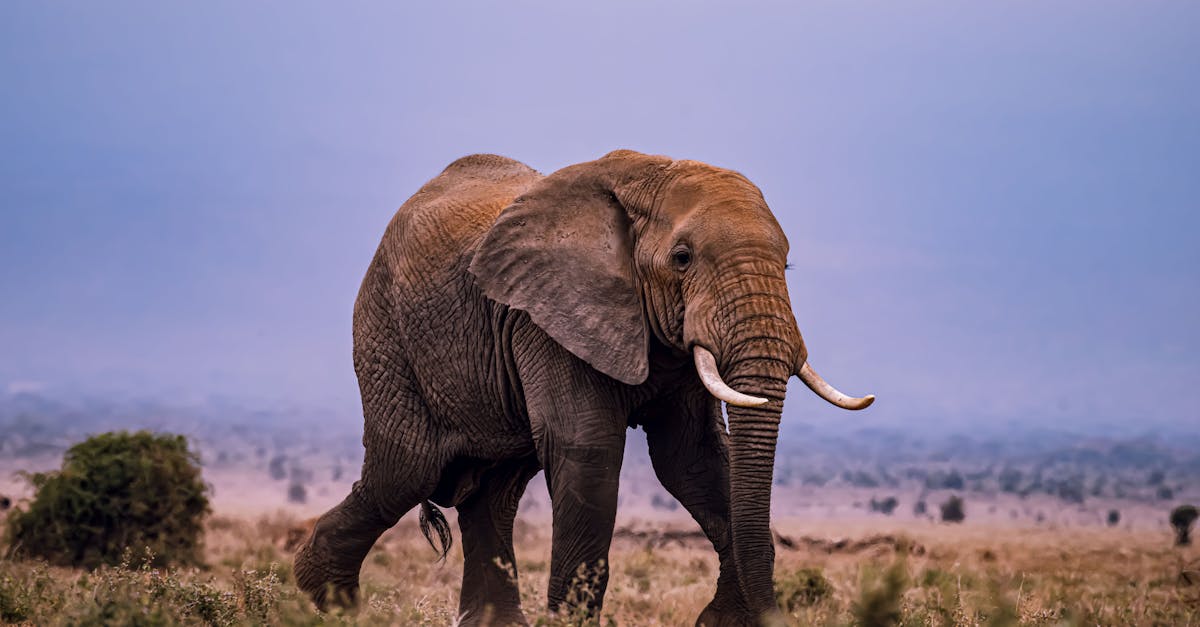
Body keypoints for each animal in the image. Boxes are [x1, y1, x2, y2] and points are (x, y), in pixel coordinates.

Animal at [290, 148, 873, 619]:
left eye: (788, 264)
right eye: (682, 258)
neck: (649, 176)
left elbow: (694, 458)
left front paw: (721, 621)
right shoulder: (547, 316)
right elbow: (587, 450)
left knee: (492, 494)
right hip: (386, 332)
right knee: (407, 470)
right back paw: (330, 603)